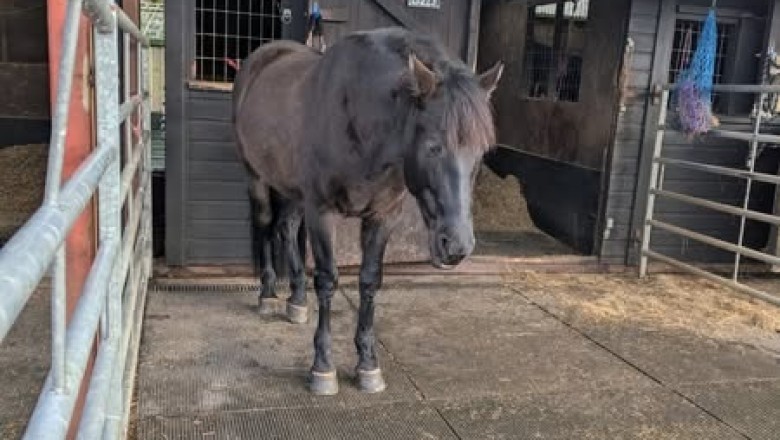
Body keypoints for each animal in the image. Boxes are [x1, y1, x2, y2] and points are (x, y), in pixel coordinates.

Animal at [233, 27, 503, 395]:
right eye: (434, 146)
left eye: (482, 152)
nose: (457, 246)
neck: (357, 118)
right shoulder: (322, 212)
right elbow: (328, 280)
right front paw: (323, 367)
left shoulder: (382, 217)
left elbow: (370, 282)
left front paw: (368, 364)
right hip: (257, 177)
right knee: (264, 225)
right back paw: (269, 295)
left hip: (292, 189)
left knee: (286, 228)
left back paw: (297, 301)